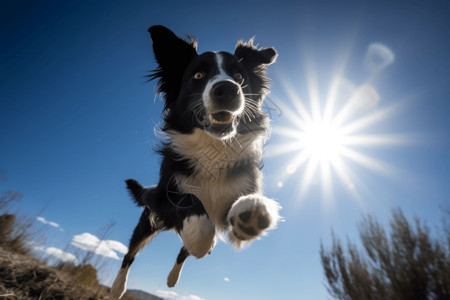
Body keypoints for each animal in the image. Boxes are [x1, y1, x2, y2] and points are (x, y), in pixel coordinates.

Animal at [112, 25, 280, 298]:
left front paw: (253, 212)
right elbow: (195, 211)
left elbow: (249, 201)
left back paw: (172, 278)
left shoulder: (236, 193)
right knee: (131, 252)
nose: (227, 89)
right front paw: (200, 240)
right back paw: (118, 287)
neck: (214, 147)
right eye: (198, 75)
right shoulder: (166, 196)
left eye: (239, 77)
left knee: (182, 251)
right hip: (148, 220)